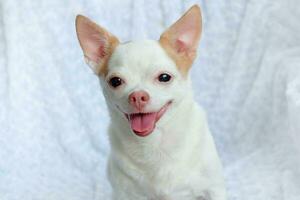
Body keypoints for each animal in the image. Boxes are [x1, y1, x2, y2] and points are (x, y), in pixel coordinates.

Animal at [76, 4, 226, 200]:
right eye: (115, 81)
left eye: (164, 77)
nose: (138, 96)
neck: (153, 144)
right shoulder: (124, 193)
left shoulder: (214, 189)